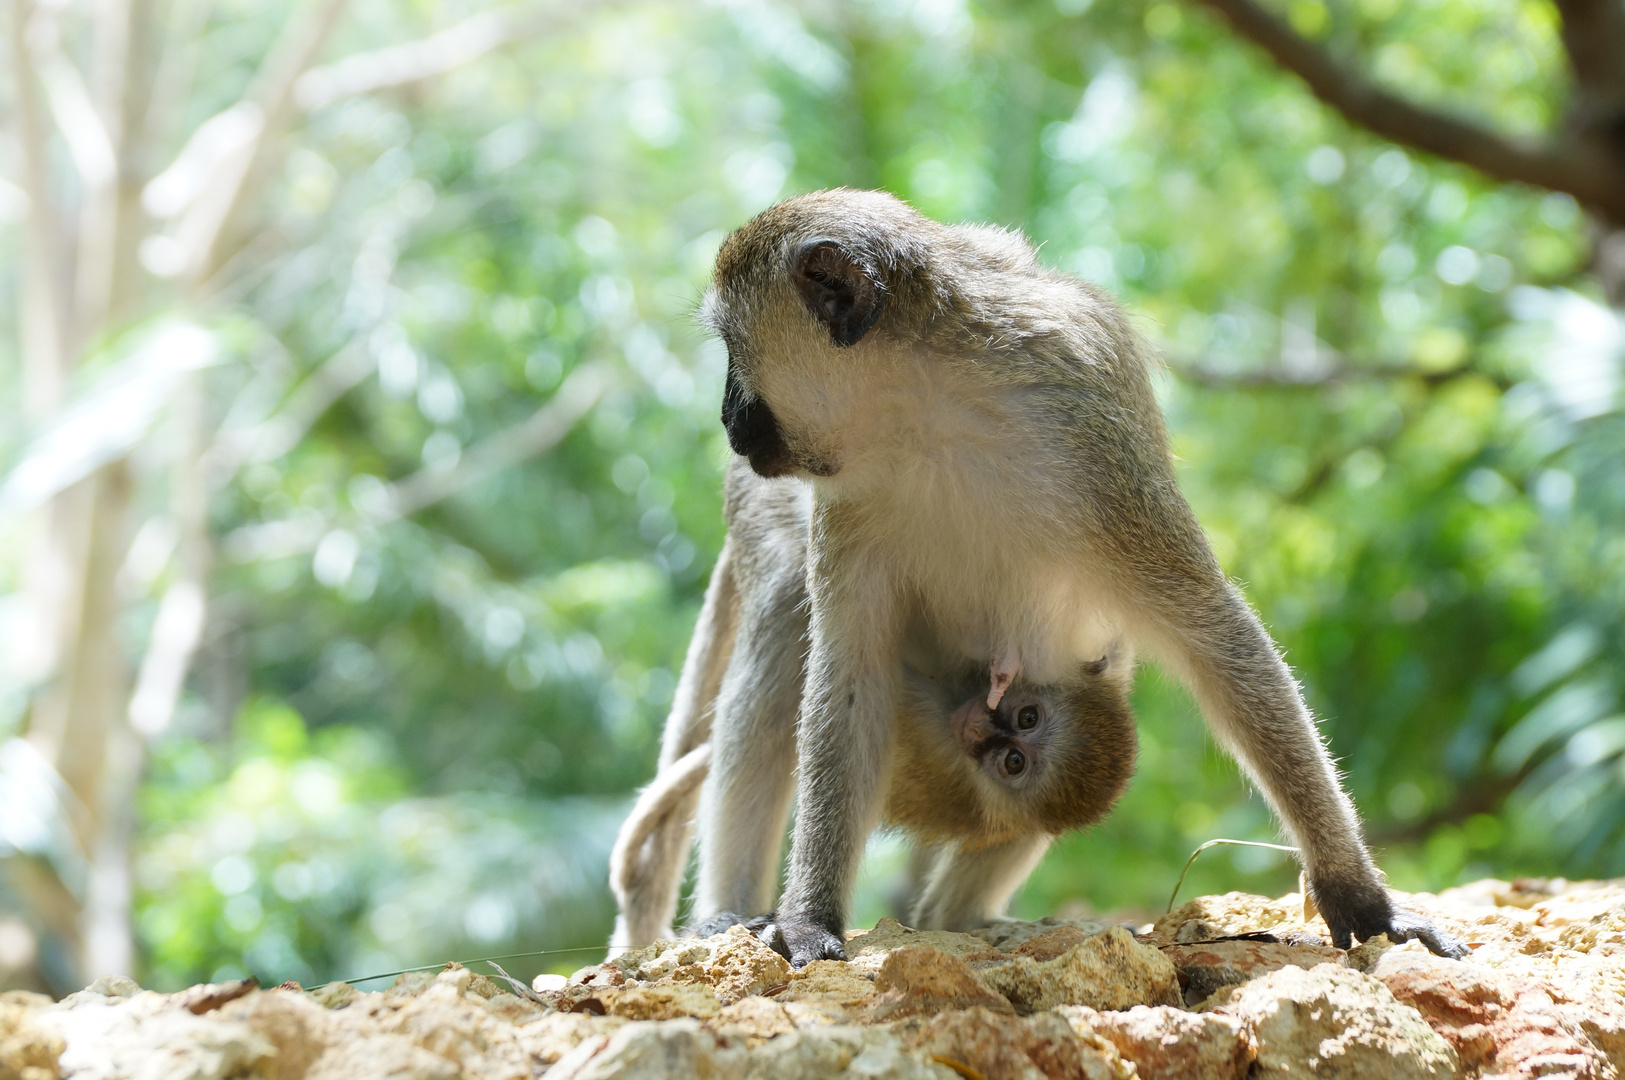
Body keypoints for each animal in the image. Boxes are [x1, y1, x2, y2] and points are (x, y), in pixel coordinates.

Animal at [695, 189, 1462, 961]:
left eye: (733, 348)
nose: (727, 416)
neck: (927, 406)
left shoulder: (1087, 436)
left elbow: (1212, 636)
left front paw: (1357, 894)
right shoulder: (847, 504)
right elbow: (851, 678)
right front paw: (810, 915)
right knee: (788, 610)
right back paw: (731, 911)